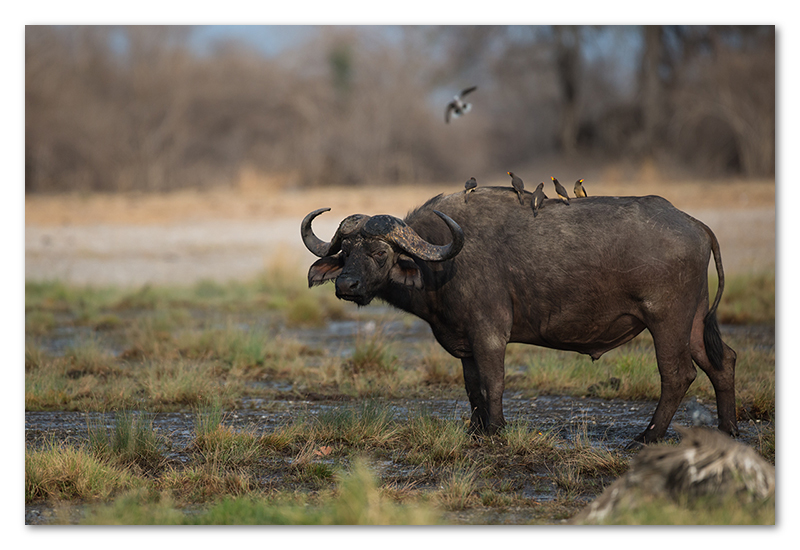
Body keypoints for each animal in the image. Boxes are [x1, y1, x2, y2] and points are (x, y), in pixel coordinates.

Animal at [300, 188, 736, 446]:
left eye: (380, 253)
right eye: (346, 252)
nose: (347, 285)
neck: (442, 265)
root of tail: (695, 224)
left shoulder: (490, 334)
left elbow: (494, 383)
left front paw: (496, 430)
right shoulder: (465, 344)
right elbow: (473, 388)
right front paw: (476, 430)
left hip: (667, 321)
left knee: (677, 374)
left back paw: (647, 436)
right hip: (694, 322)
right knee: (723, 362)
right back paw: (728, 429)